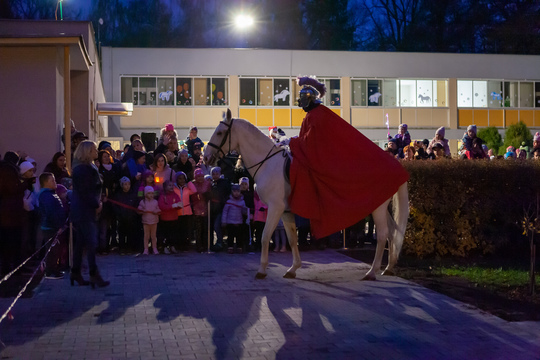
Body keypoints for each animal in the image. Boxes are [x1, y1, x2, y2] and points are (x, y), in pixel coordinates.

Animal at [204, 109, 410, 282]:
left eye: (220, 133)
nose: (206, 157)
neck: (268, 164)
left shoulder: (275, 208)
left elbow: (264, 236)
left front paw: (262, 270)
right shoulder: (285, 211)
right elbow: (292, 238)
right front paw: (293, 269)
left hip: (377, 208)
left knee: (382, 234)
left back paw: (371, 272)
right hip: (381, 206)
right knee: (392, 231)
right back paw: (388, 268)